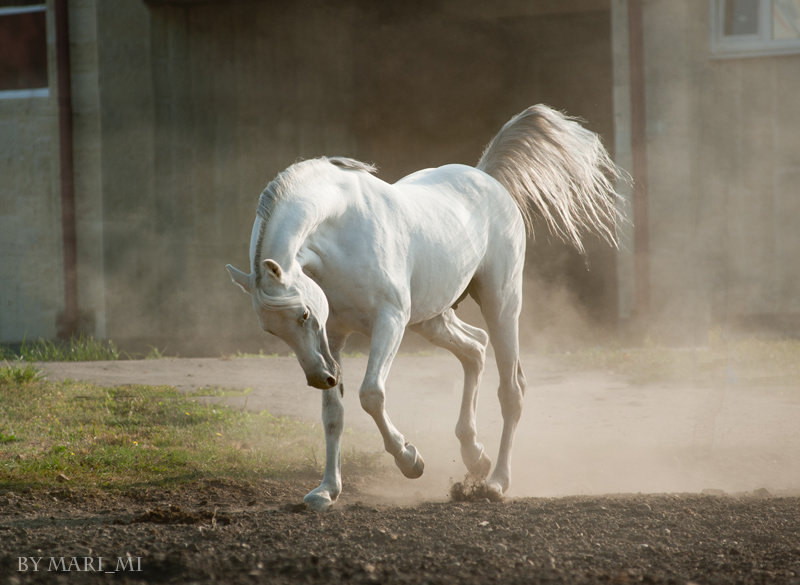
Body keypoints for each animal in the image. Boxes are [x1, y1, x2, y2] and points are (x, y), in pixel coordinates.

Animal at [228, 105, 620, 512]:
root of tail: (486, 176)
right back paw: (475, 457)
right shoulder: (334, 335)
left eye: (303, 315)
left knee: (511, 389)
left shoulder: (389, 322)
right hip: (431, 319)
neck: (342, 225)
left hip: (500, 304)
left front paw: (410, 460)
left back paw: (496, 482)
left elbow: (371, 394)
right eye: (272, 330)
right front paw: (326, 491)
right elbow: (333, 414)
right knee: (475, 349)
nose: (321, 378)